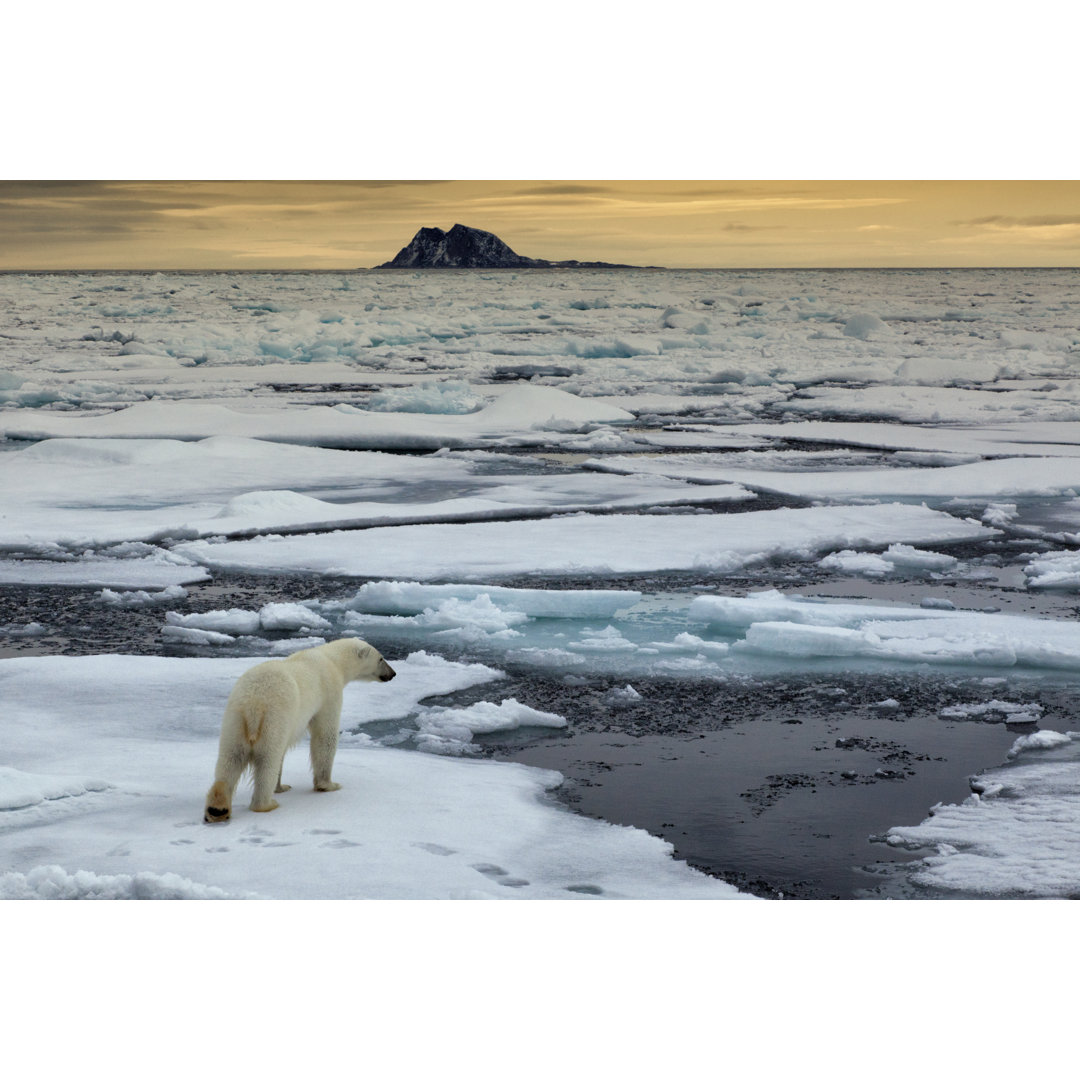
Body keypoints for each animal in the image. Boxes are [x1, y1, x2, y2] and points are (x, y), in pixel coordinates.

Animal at [200, 635, 395, 820]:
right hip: (274, 719)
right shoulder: (329, 692)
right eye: (381, 658)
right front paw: (329, 785)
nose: (393, 673)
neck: (333, 660)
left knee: (230, 759)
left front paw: (281, 786)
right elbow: (325, 737)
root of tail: (254, 705)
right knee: (267, 760)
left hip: (235, 721)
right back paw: (267, 804)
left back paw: (217, 809)